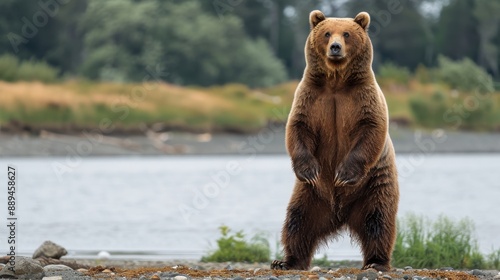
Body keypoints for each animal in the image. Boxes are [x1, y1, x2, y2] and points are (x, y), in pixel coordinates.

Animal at [272, 10, 400, 272]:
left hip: (375, 185)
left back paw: (376, 262)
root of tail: (340, 214)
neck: (336, 81)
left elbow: (371, 129)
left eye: (347, 34)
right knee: (297, 222)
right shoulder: (310, 97)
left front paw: (343, 173)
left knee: (378, 221)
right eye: (327, 33)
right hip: (310, 195)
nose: (335, 47)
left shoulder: (365, 98)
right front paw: (309, 169)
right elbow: (298, 127)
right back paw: (287, 261)